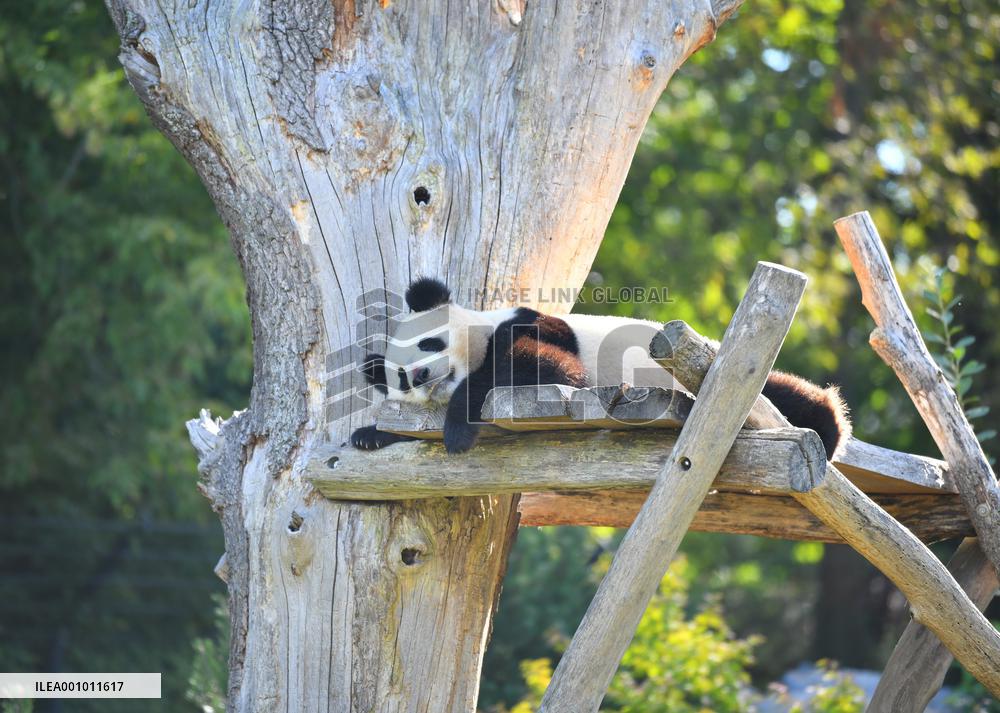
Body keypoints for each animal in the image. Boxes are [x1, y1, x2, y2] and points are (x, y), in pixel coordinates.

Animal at [351, 277, 851, 457]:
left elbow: (547, 368)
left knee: (786, 395)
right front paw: (369, 435)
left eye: (428, 342)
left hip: (722, 370)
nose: (421, 375)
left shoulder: (530, 324)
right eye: (399, 377)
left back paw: (828, 424)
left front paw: (457, 428)